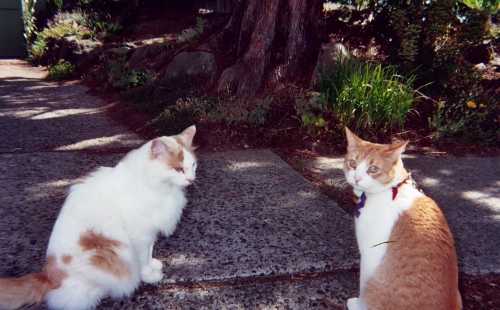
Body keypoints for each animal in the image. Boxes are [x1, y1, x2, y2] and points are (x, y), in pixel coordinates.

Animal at [0, 125, 198, 310]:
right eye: (178, 169)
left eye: (193, 166)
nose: (191, 179)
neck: (153, 184)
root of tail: (48, 277)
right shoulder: (140, 235)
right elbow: (142, 258)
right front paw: (148, 275)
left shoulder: (150, 232)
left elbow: (149, 252)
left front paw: (153, 265)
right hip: (107, 256)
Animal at [344, 127, 460, 308]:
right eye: (353, 163)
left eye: (373, 169)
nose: (356, 178)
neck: (392, 189)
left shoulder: (370, 253)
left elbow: (364, 285)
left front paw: (357, 305)